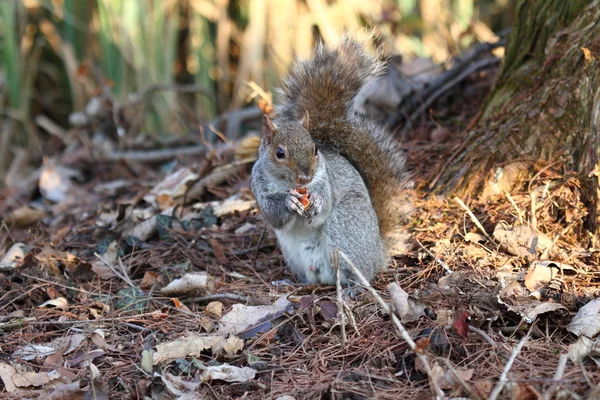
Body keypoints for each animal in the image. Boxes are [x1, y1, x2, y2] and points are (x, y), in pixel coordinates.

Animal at [250, 34, 412, 284]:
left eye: (315, 149)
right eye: (279, 153)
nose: (305, 178)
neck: (287, 184)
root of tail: (378, 254)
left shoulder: (325, 180)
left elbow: (324, 203)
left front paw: (316, 201)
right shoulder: (258, 185)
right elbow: (272, 214)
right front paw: (289, 201)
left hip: (345, 229)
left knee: (358, 272)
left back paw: (353, 284)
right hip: (294, 255)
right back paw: (292, 281)